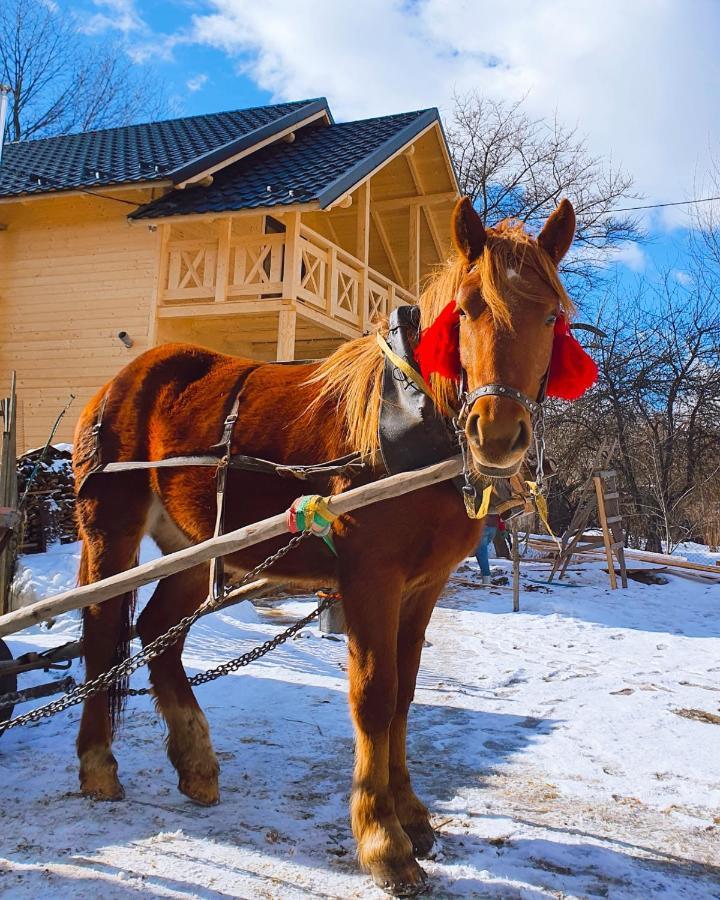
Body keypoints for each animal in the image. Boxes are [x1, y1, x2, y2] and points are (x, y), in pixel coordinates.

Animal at [73, 197, 576, 892]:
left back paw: (196, 762)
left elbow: (406, 693)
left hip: (194, 545)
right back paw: (98, 764)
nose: (497, 434)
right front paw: (383, 838)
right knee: (102, 632)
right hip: (110, 532)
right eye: (469, 308)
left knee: (156, 632)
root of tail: (122, 380)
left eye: (551, 315)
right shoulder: (371, 580)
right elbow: (375, 697)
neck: (408, 424)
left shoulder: (424, 587)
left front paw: (411, 813)